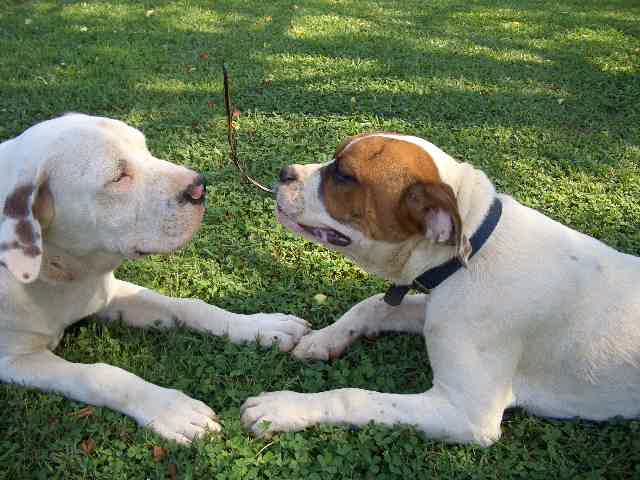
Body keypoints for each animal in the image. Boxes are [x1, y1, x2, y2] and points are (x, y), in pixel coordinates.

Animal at [0, 114, 310, 444]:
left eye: (145, 148)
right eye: (118, 177)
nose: (199, 187)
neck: (58, 272)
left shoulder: (110, 292)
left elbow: (191, 306)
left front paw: (260, 326)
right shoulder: (15, 360)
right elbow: (98, 374)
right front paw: (171, 409)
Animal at [240, 132, 640, 446]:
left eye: (343, 175)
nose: (284, 173)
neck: (471, 249)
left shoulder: (466, 412)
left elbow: (354, 397)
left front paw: (283, 407)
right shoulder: (436, 312)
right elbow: (373, 304)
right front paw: (323, 339)